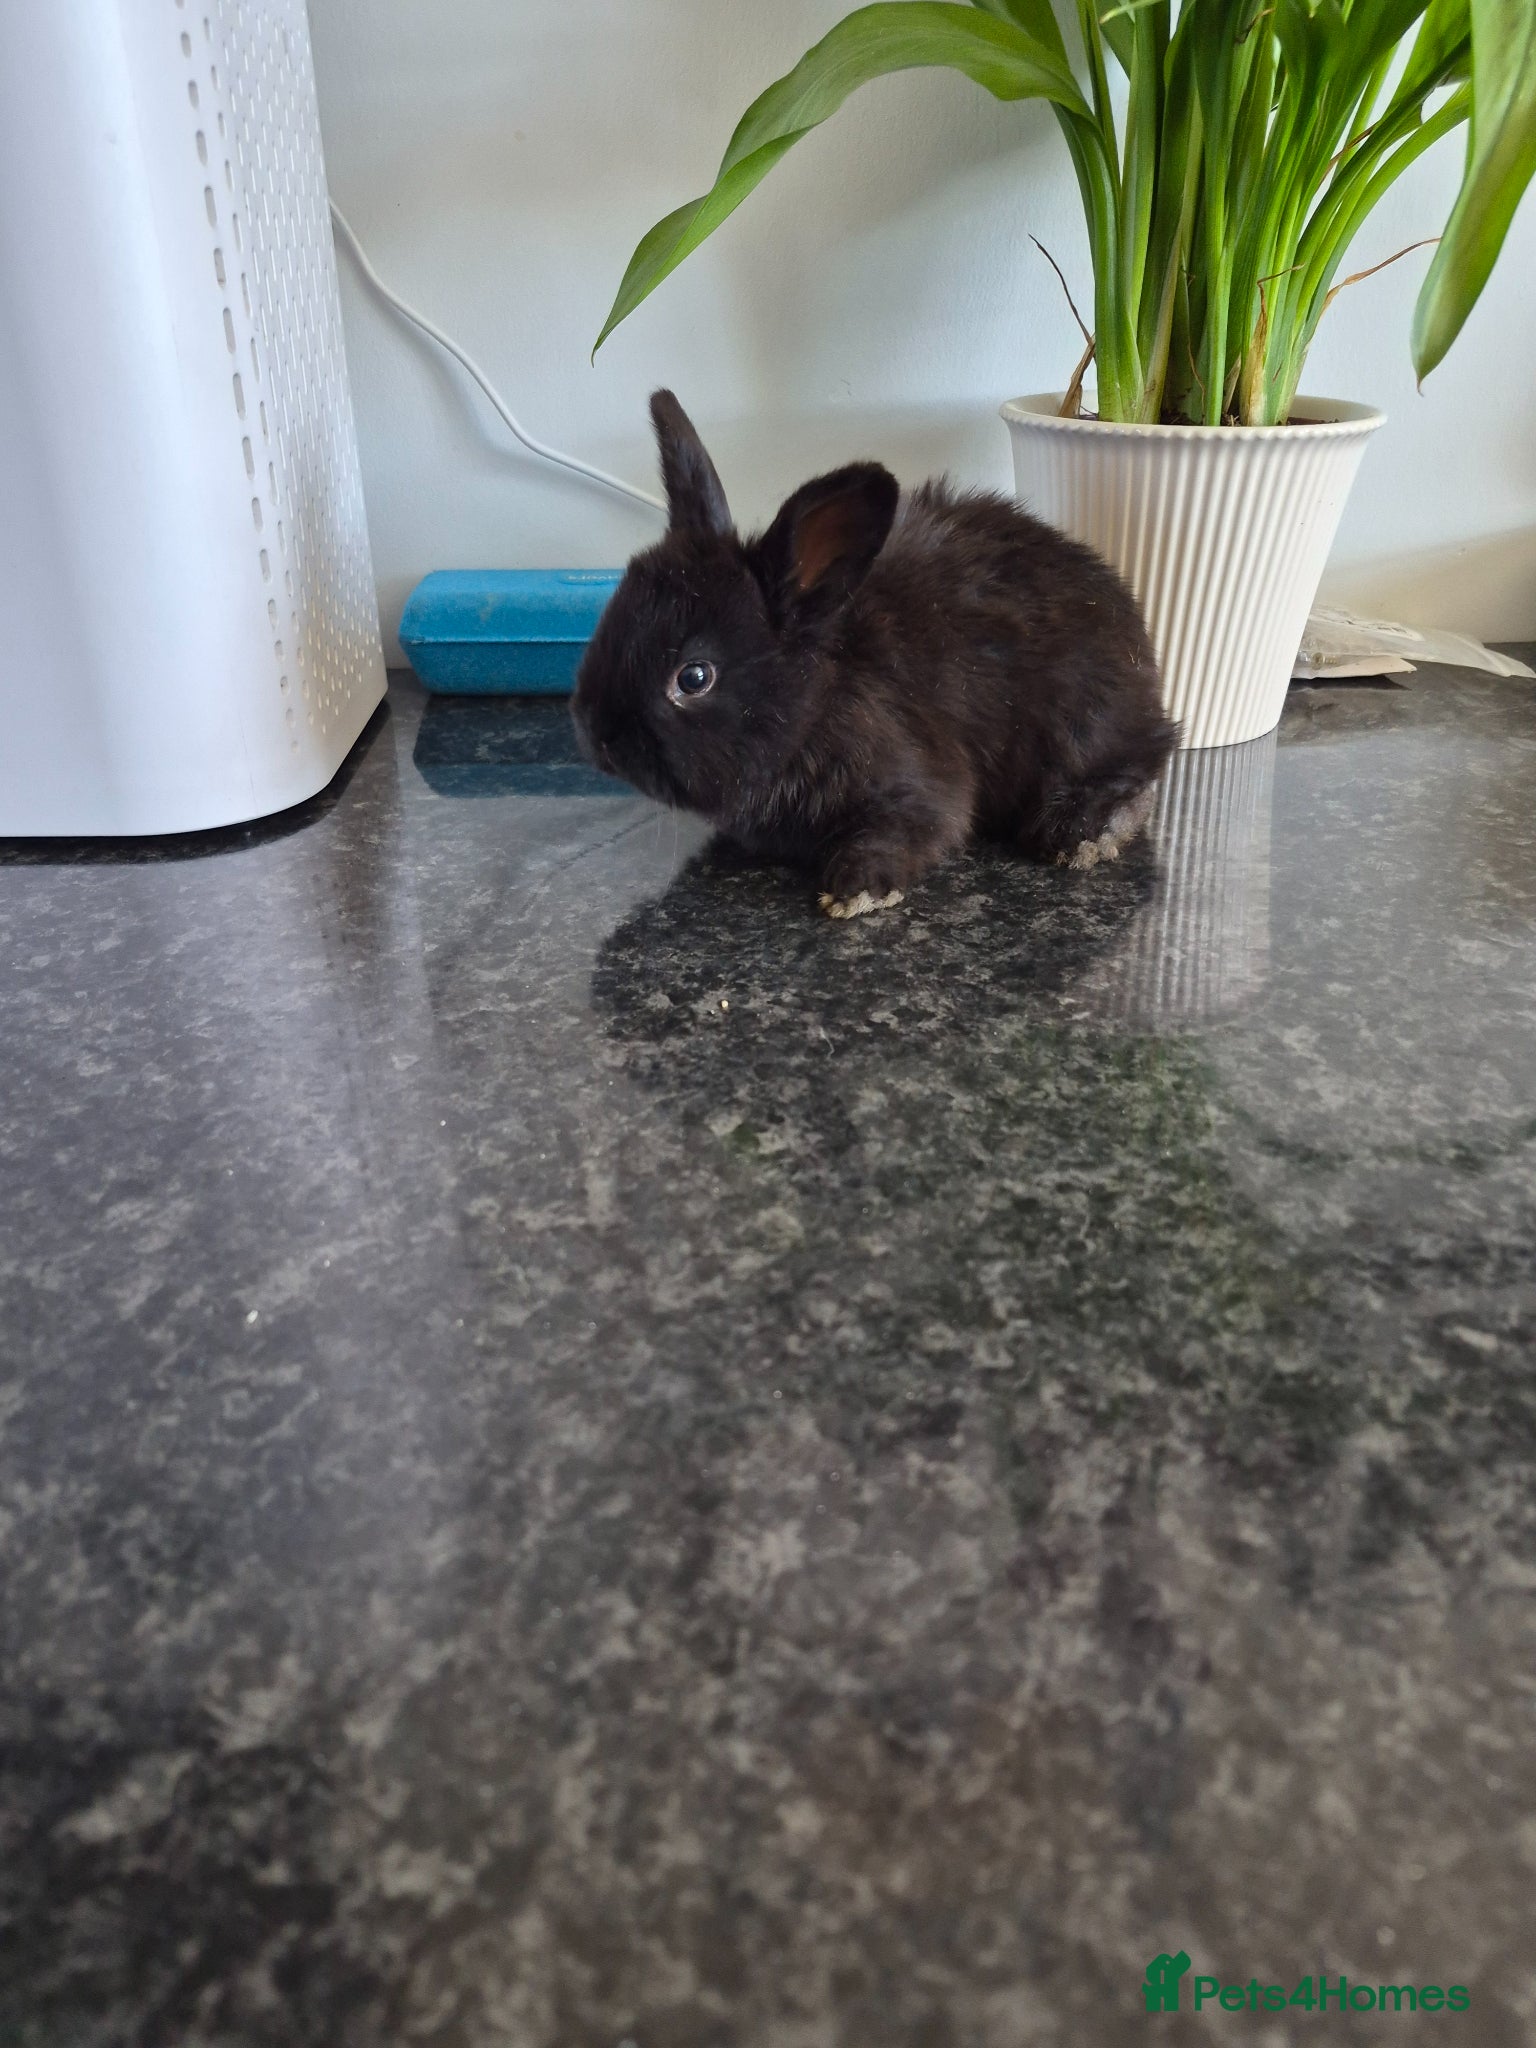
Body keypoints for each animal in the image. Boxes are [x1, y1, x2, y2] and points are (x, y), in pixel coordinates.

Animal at [572, 390, 1178, 918]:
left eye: (694, 677)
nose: (593, 734)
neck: (813, 701)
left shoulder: (914, 785)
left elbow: (915, 827)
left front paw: (855, 892)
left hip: (1084, 726)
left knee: (1138, 770)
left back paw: (1082, 834)